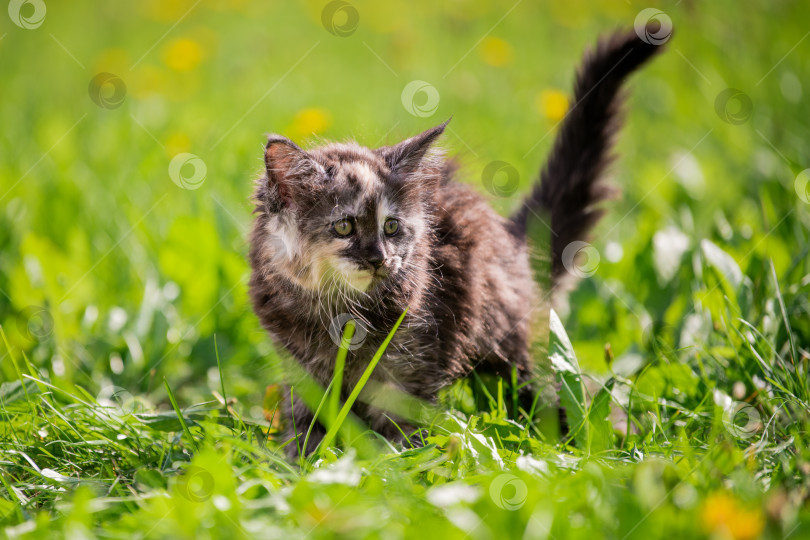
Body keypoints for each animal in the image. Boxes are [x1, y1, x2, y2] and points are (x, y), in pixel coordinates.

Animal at [248, 27, 664, 454]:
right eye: (345, 227)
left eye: (391, 227)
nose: (380, 258)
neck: (339, 309)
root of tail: (512, 240)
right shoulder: (301, 368)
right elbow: (306, 426)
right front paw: (300, 461)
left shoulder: (411, 365)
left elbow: (401, 433)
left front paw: (397, 464)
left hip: (520, 357)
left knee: (574, 398)